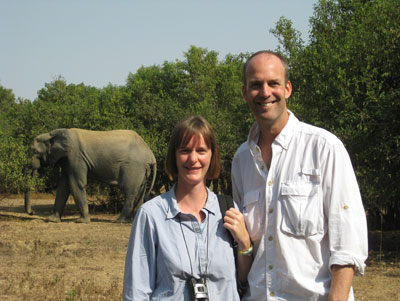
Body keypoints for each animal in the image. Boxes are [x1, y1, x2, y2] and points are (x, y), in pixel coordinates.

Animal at [24, 127, 156, 223]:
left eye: (34, 152)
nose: (32, 212)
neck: (52, 134)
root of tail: (151, 154)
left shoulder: (76, 157)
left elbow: (76, 184)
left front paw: (81, 221)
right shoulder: (67, 160)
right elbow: (63, 186)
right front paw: (52, 220)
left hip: (134, 167)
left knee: (130, 192)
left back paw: (120, 221)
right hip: (142, 170)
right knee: (140, 192)